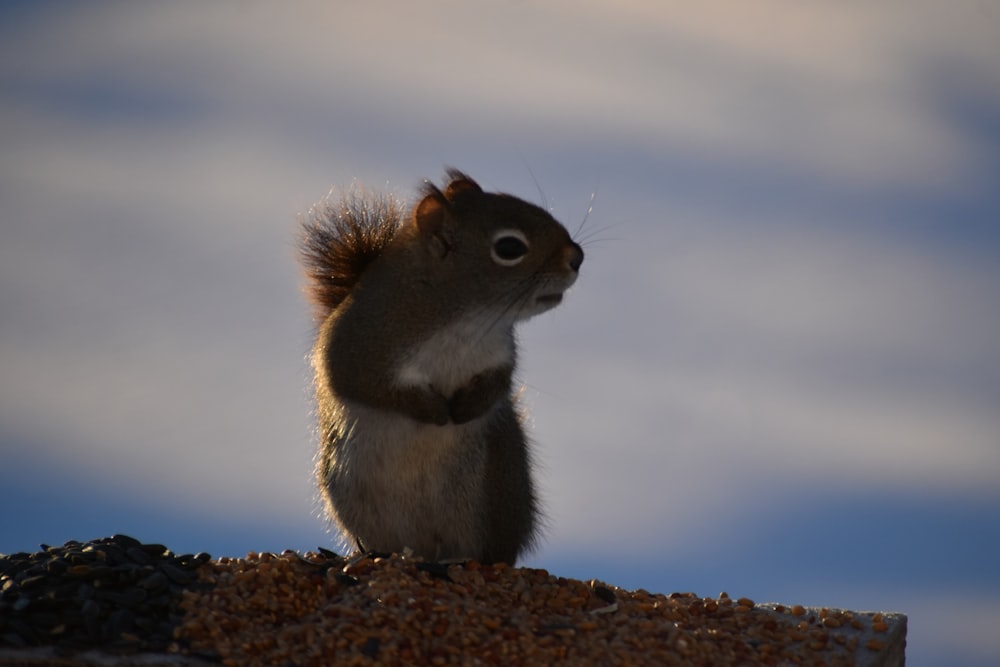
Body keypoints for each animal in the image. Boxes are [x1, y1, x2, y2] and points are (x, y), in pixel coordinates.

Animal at [296, 170, 584, 568]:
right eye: (510, 248)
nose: (577, 257)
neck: (462, 318)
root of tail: (423, 551)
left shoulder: (498, 354)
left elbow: (498, 384)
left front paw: (464, 409)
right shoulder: (357, 346)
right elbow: (369, 386)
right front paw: (435, 411)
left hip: (493, 495)